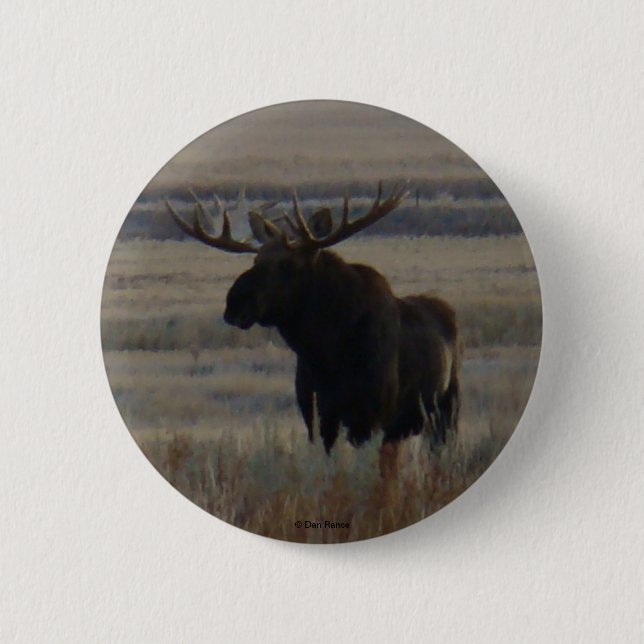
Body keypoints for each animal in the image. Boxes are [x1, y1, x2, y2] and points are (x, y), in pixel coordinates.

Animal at [166, 182, 461, 466]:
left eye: (288, 264)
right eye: (256, 259)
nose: (234, 305)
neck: (326, 353)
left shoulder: (374, 414)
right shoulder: (316, 414)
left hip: (445, 407)